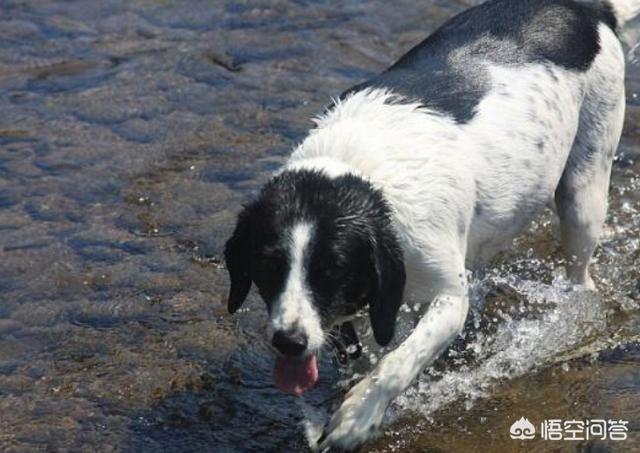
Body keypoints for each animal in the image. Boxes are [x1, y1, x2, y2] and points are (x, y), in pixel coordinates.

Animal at [222, 0, 636, 448]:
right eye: (268, 265)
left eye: (333, 270)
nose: (288, 342)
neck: (365, 177)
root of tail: (583, 8)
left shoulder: (449, 300)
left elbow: (397, 363)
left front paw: (357, 417)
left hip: (584, 189)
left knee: (581, 275)